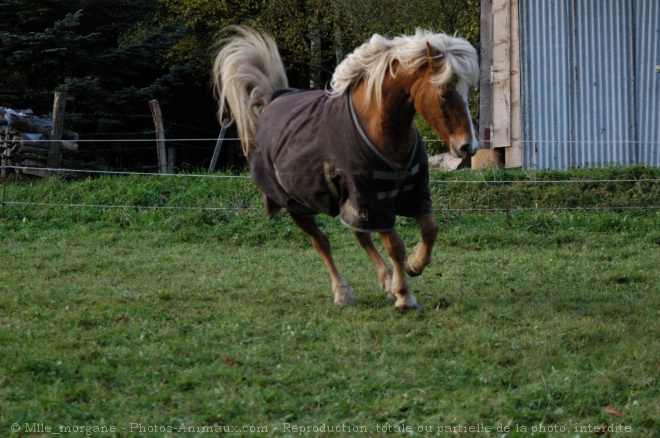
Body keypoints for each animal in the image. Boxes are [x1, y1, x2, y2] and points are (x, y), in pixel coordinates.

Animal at [214, 25, 476, 312]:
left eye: (466, 91)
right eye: (444, 93)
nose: (468, 146)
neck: (380, 129)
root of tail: (274, 98)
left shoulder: (413, 191)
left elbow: (430, 230)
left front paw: (414, 265)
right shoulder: (370, 198)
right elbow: (394, 245)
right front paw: (405, 295)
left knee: (360, 235)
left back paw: (386, 282)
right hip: (298, 206)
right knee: (322, 243)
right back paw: (343, 292)